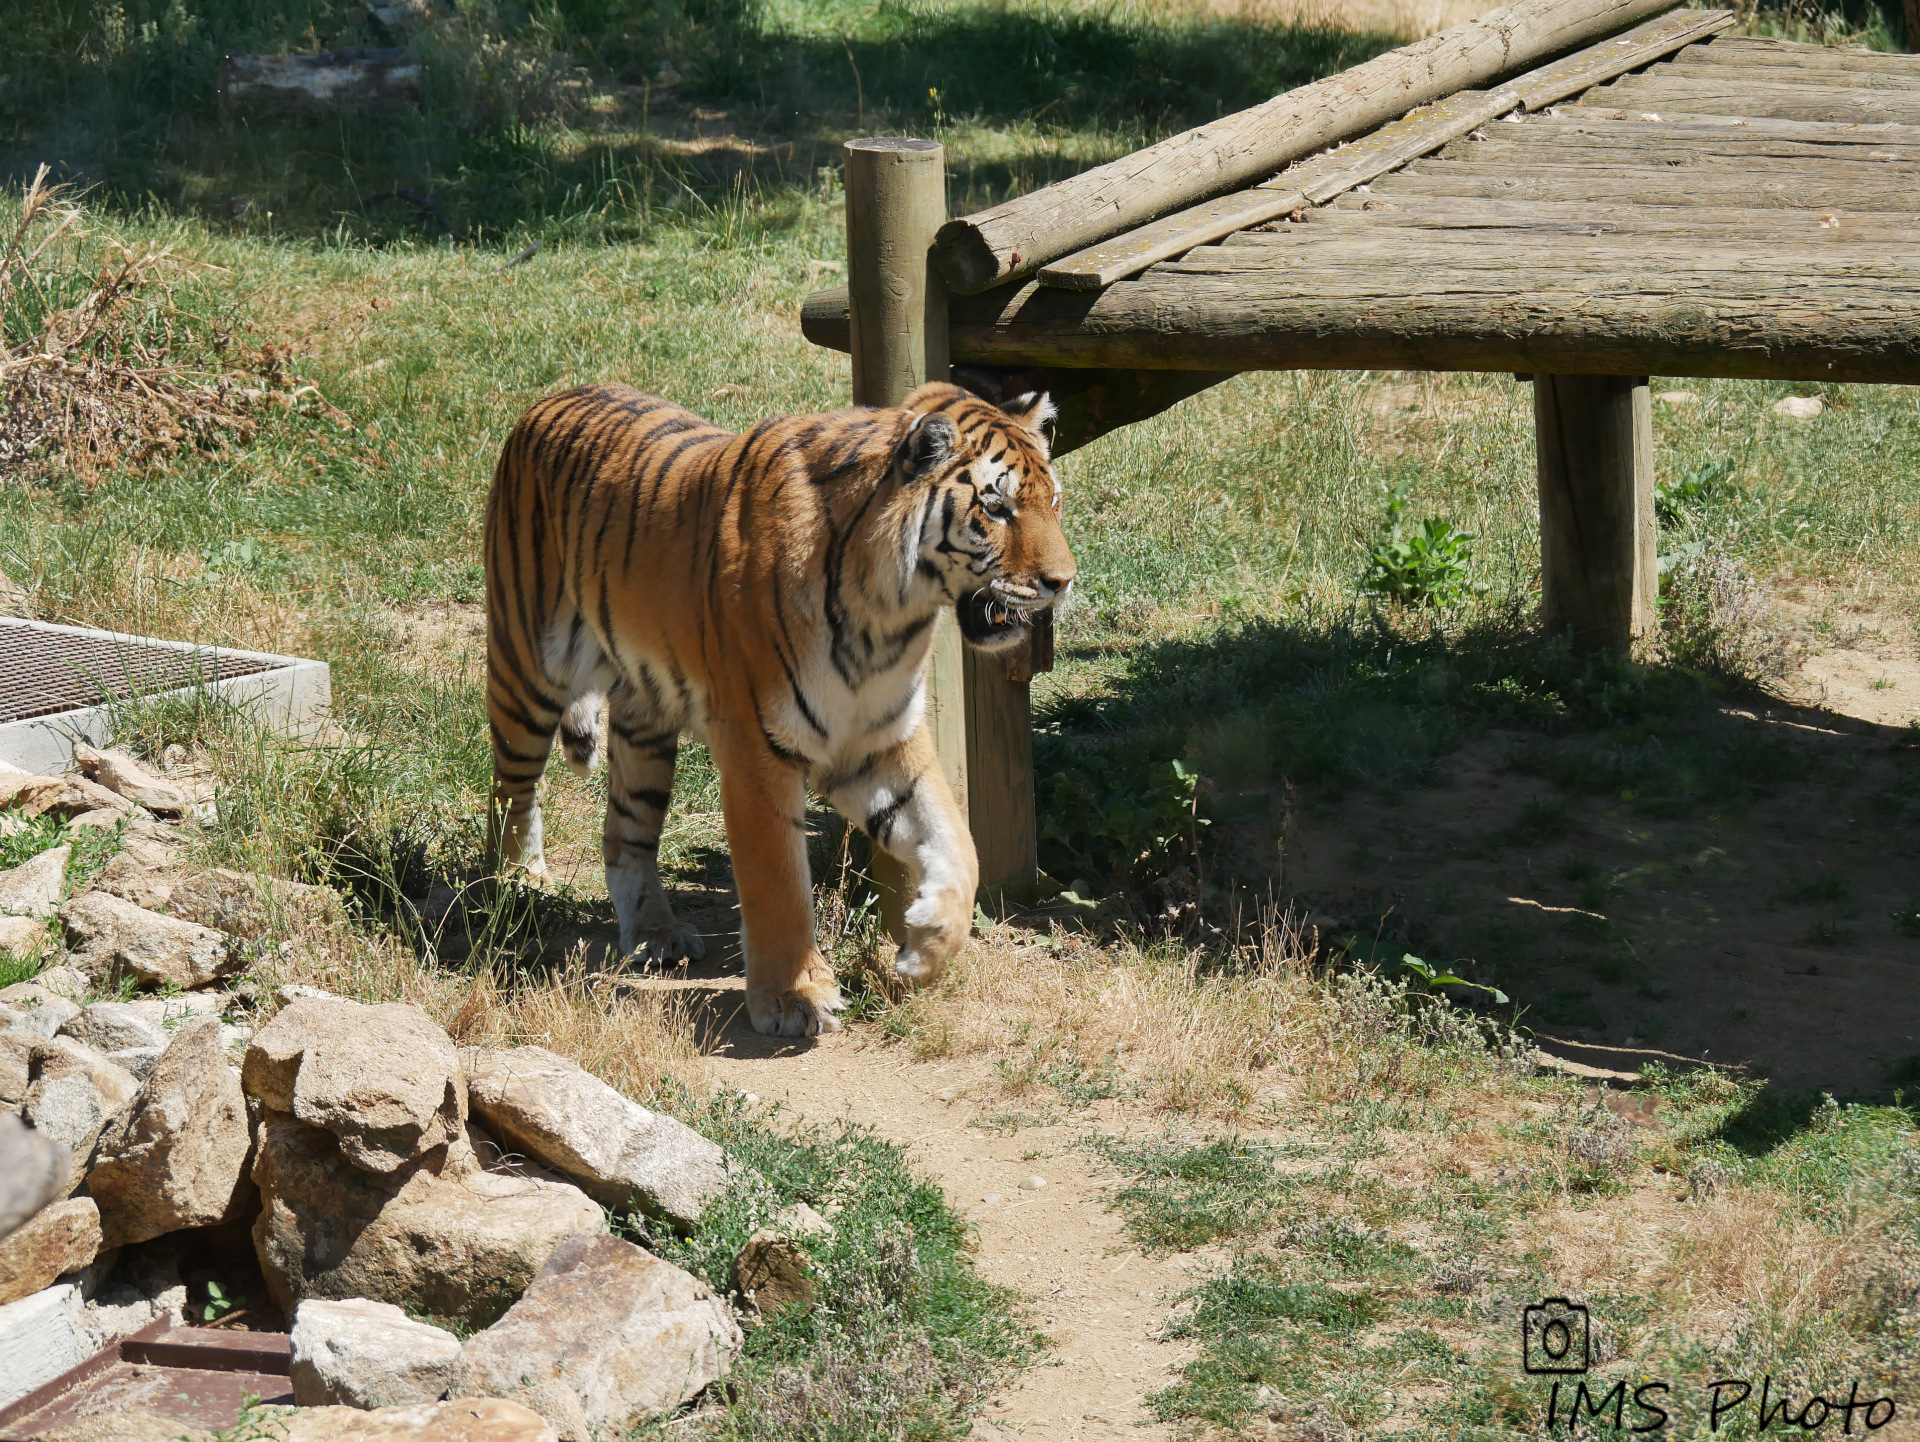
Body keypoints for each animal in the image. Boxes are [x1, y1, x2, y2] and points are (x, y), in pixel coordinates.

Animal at [480, 384, 1075, 1036]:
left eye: (1053, 502)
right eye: (996, 509)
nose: (1063, 581)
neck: (892, 615)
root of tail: (552, 398)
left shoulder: (877, 738)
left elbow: (958, 846)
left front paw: (924, 948)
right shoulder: (756, 747)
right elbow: (779, 885)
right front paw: (794, 998)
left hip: (644, 726)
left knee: (623, 834)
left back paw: (656, 934)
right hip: (526, 673)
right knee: (509, 789)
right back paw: (518, 882)